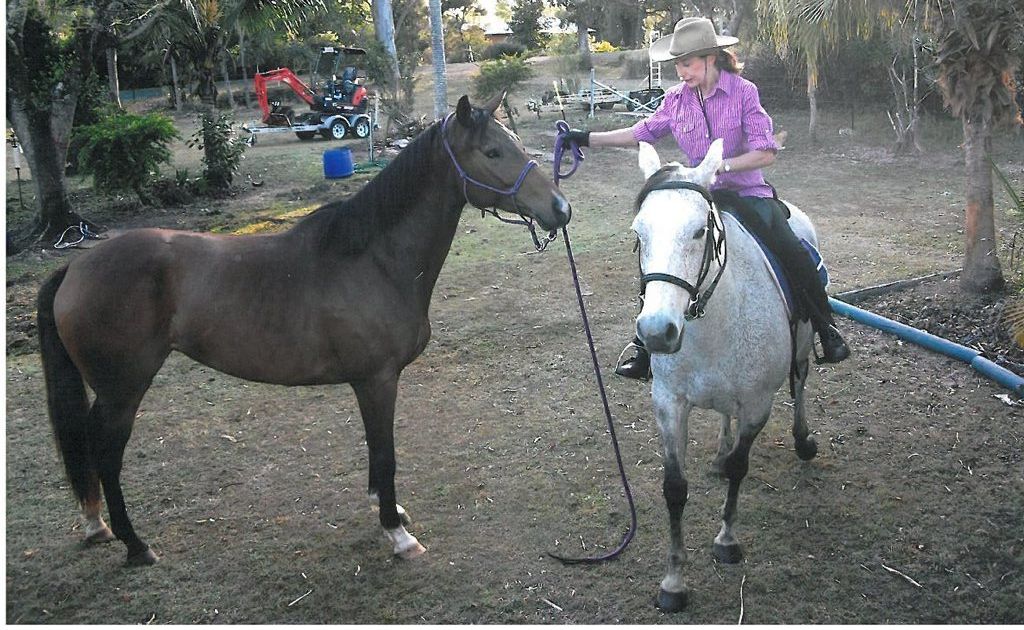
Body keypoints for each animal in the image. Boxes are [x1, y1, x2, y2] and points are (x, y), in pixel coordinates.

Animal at [36, 93, 571, 567]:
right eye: (492, 152)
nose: (560, 209)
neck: (373, 258)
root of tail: (76, 267)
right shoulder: (377, 381)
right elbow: (385, 452)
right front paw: (396, 532)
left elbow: (376, 452)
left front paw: (389, 510)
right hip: (122, 391)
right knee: (104, 455)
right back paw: (135, 545)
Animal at [630, 139, 820, 611]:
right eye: (638, 234)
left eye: (700, 231)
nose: (656, 332)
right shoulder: (669, 404)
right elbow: (674, 488)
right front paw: (673, 582)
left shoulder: (757, 404)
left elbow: (739, 467)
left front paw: (727, 541)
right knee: (723, 414)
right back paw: (718, 449)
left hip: (803, 349)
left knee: (801, 384)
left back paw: (803, 439)